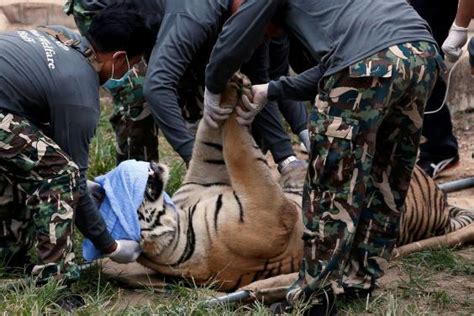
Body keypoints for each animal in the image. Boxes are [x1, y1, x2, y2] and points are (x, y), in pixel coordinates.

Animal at [134, 73, 474, 292]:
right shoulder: (269, 213)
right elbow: (240, 150)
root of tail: (441, 201)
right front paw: (241, 97)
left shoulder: (202, 180)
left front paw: (230, 89)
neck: (182, 224)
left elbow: (212, 134)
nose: (150, 166)